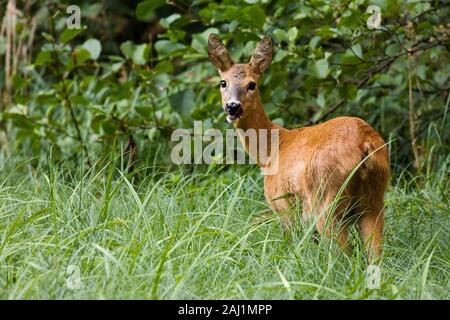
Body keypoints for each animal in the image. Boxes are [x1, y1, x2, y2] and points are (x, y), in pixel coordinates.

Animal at [209, 33, 388, 262]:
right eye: (223, 82)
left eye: (252, 84)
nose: (233, 107)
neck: (271, 150)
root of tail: (364, 144)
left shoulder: (282, 204)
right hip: (375, 198)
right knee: (375, 253)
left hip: (327, 197)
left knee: (341, 254)